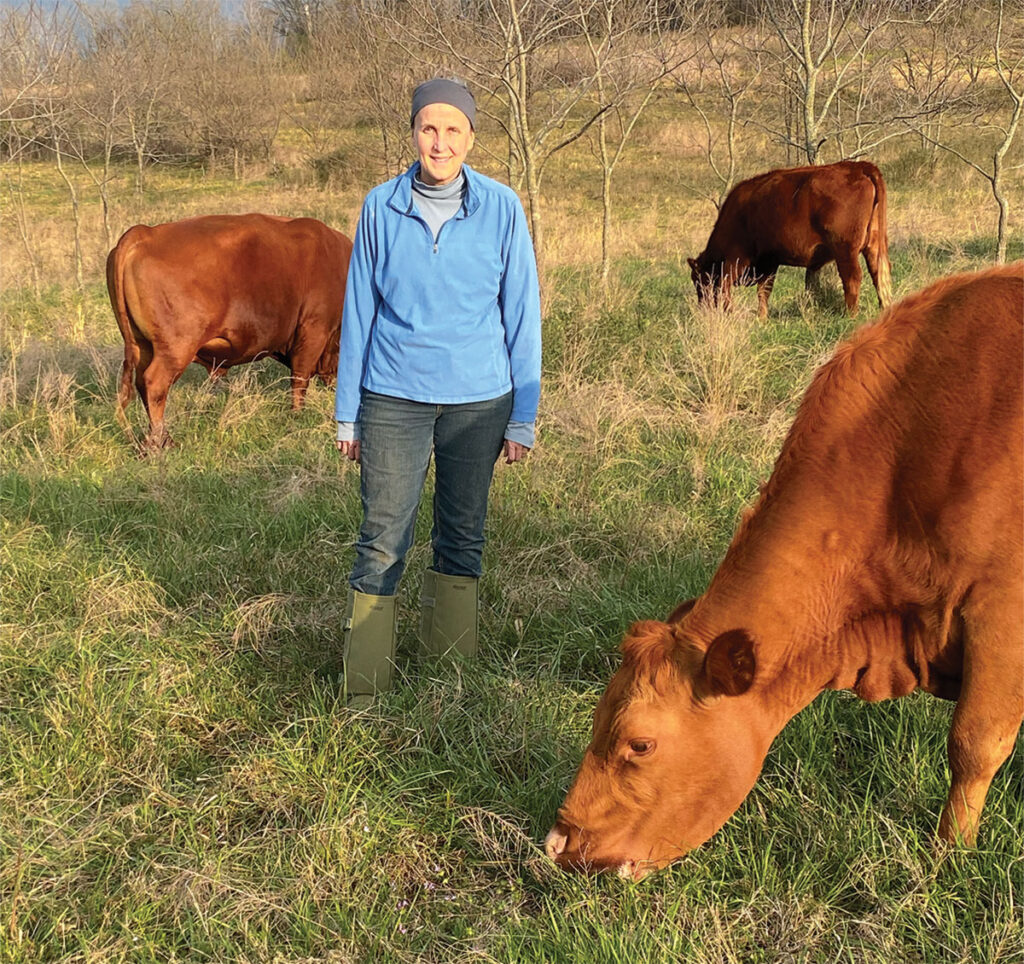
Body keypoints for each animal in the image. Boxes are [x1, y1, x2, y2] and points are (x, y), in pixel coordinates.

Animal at [104, 212, 352, 448]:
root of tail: (144, 233)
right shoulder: (313, 330)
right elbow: (299, 379)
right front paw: (297, 416)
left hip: (141, 345)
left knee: (141, 384)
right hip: (175, 349)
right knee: (154, 385)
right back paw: (161, 442)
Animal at [688, 160, 897, 315]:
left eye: (698, 280)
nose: (702, 308)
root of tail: (858, 166)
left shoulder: (735, 258)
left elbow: (726, 287)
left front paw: (729, 313)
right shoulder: (769, 261)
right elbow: (764, 290)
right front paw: (762, 318)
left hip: (845, 250)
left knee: (852, 278)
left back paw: (850, 315)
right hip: (873, 246)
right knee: (878, 274)